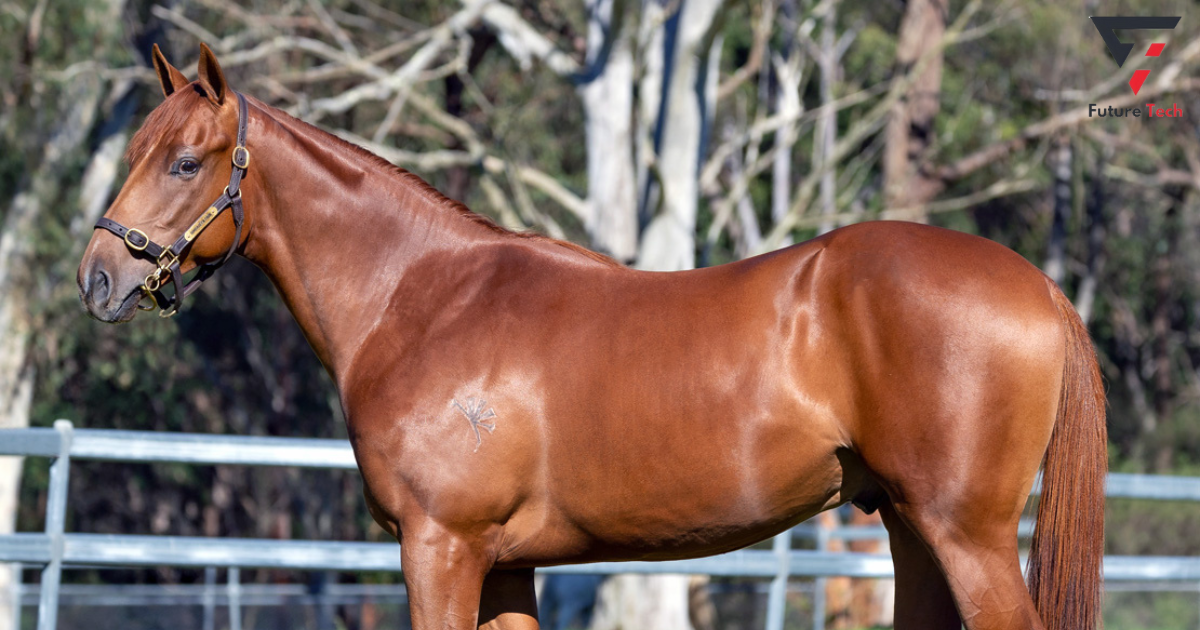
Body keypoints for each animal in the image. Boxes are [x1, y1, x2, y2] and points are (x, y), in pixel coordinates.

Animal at [77, 45, 1104, 628]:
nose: (98, 278)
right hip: (909, 527)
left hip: (964, 535)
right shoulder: (504, 566)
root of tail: (1038, 284)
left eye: (184, 162)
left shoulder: (440, 549)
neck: (423, 297)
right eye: (135, 150)